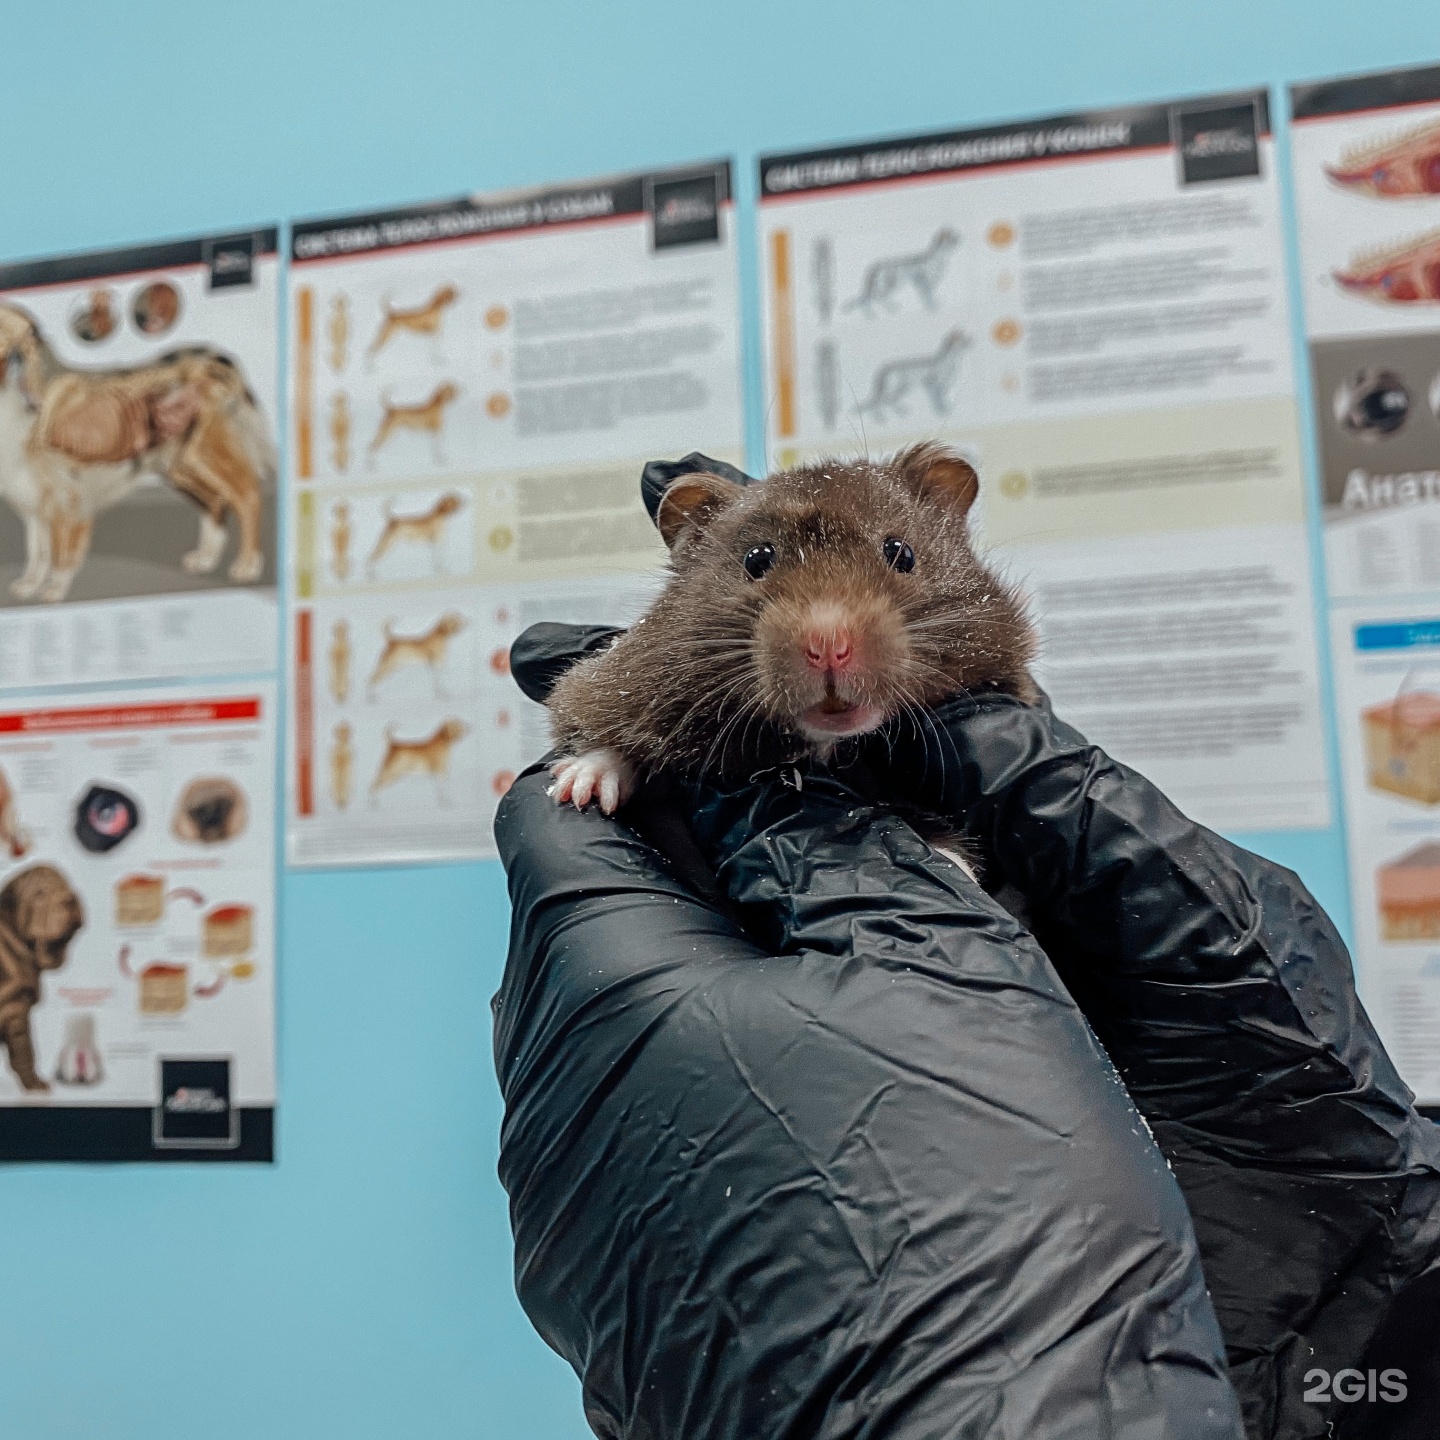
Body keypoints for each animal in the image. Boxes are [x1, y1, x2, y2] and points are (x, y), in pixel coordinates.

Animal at [547, 440, 1036, 812]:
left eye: (901, 553)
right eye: (756, 559)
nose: (828, 645)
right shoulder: (626, 678)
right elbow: (599, 729)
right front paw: (576, 791)